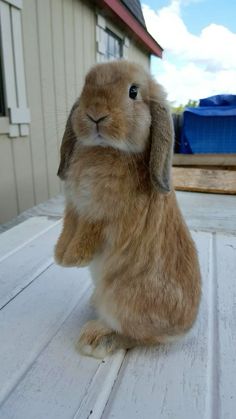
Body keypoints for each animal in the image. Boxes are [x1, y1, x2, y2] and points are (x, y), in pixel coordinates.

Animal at [54, 60, 201, 360]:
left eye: (133, 92)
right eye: (85, 88)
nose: (95, 114)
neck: (105, 150)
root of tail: (184, 330)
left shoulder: (100, 214)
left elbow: (87, 232)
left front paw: (73, 259)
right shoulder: (74, 207)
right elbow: (68, 227)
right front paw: (60, 256)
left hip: (121, 299)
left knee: (138, 337)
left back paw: (96, 338)